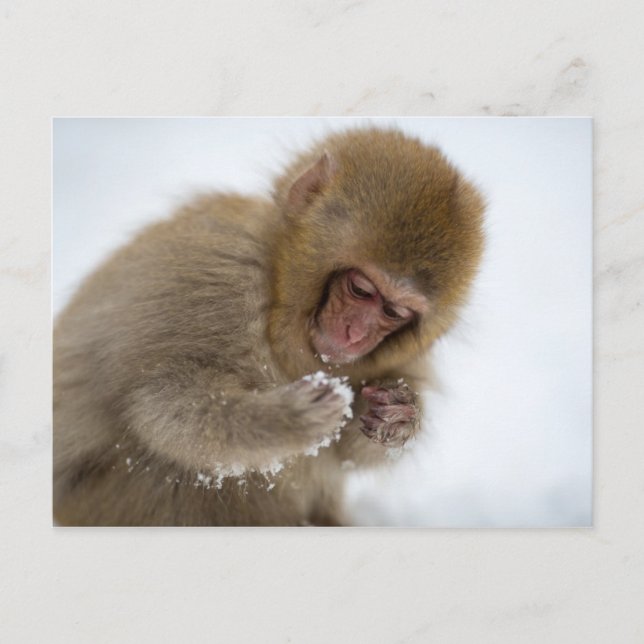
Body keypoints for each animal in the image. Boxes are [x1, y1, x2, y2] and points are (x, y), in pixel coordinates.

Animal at [53, 127, 485, 526]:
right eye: (361, 289)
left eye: (394, 312)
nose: (355, 335)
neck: (277, 292)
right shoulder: (218, 278)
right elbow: (160, 403)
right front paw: (282, 420)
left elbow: (347, 453)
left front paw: (397, 416)